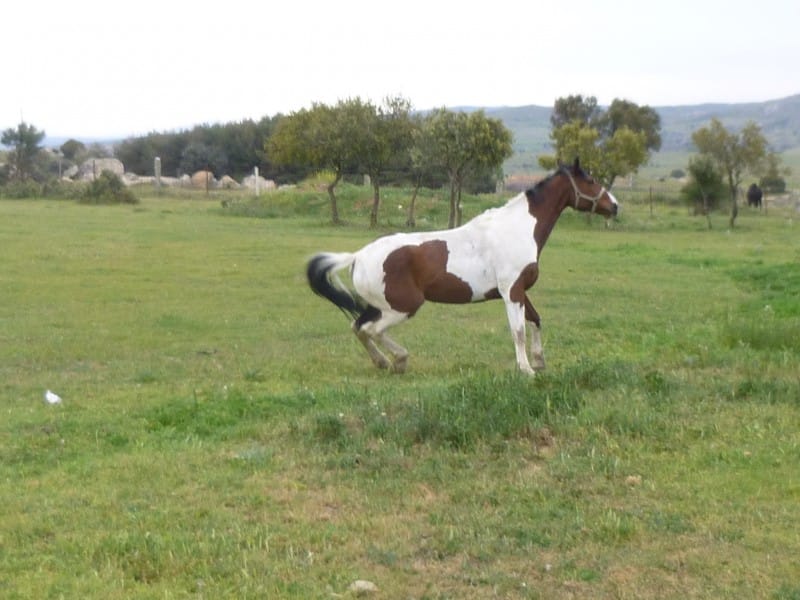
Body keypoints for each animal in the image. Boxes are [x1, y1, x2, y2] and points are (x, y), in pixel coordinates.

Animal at [306, 159, 620, 376]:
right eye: (591, 180)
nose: (615, 206)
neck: (518, 229)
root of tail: (358, 256)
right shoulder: (512, 291)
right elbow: (517, 330)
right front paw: (526, 369)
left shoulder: (519, 291)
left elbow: (536, 320)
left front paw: (540, 361)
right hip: (403, 307)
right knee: (372, 330)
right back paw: (400, 360)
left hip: (380, 306)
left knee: (358, 327)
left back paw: (384, 362)